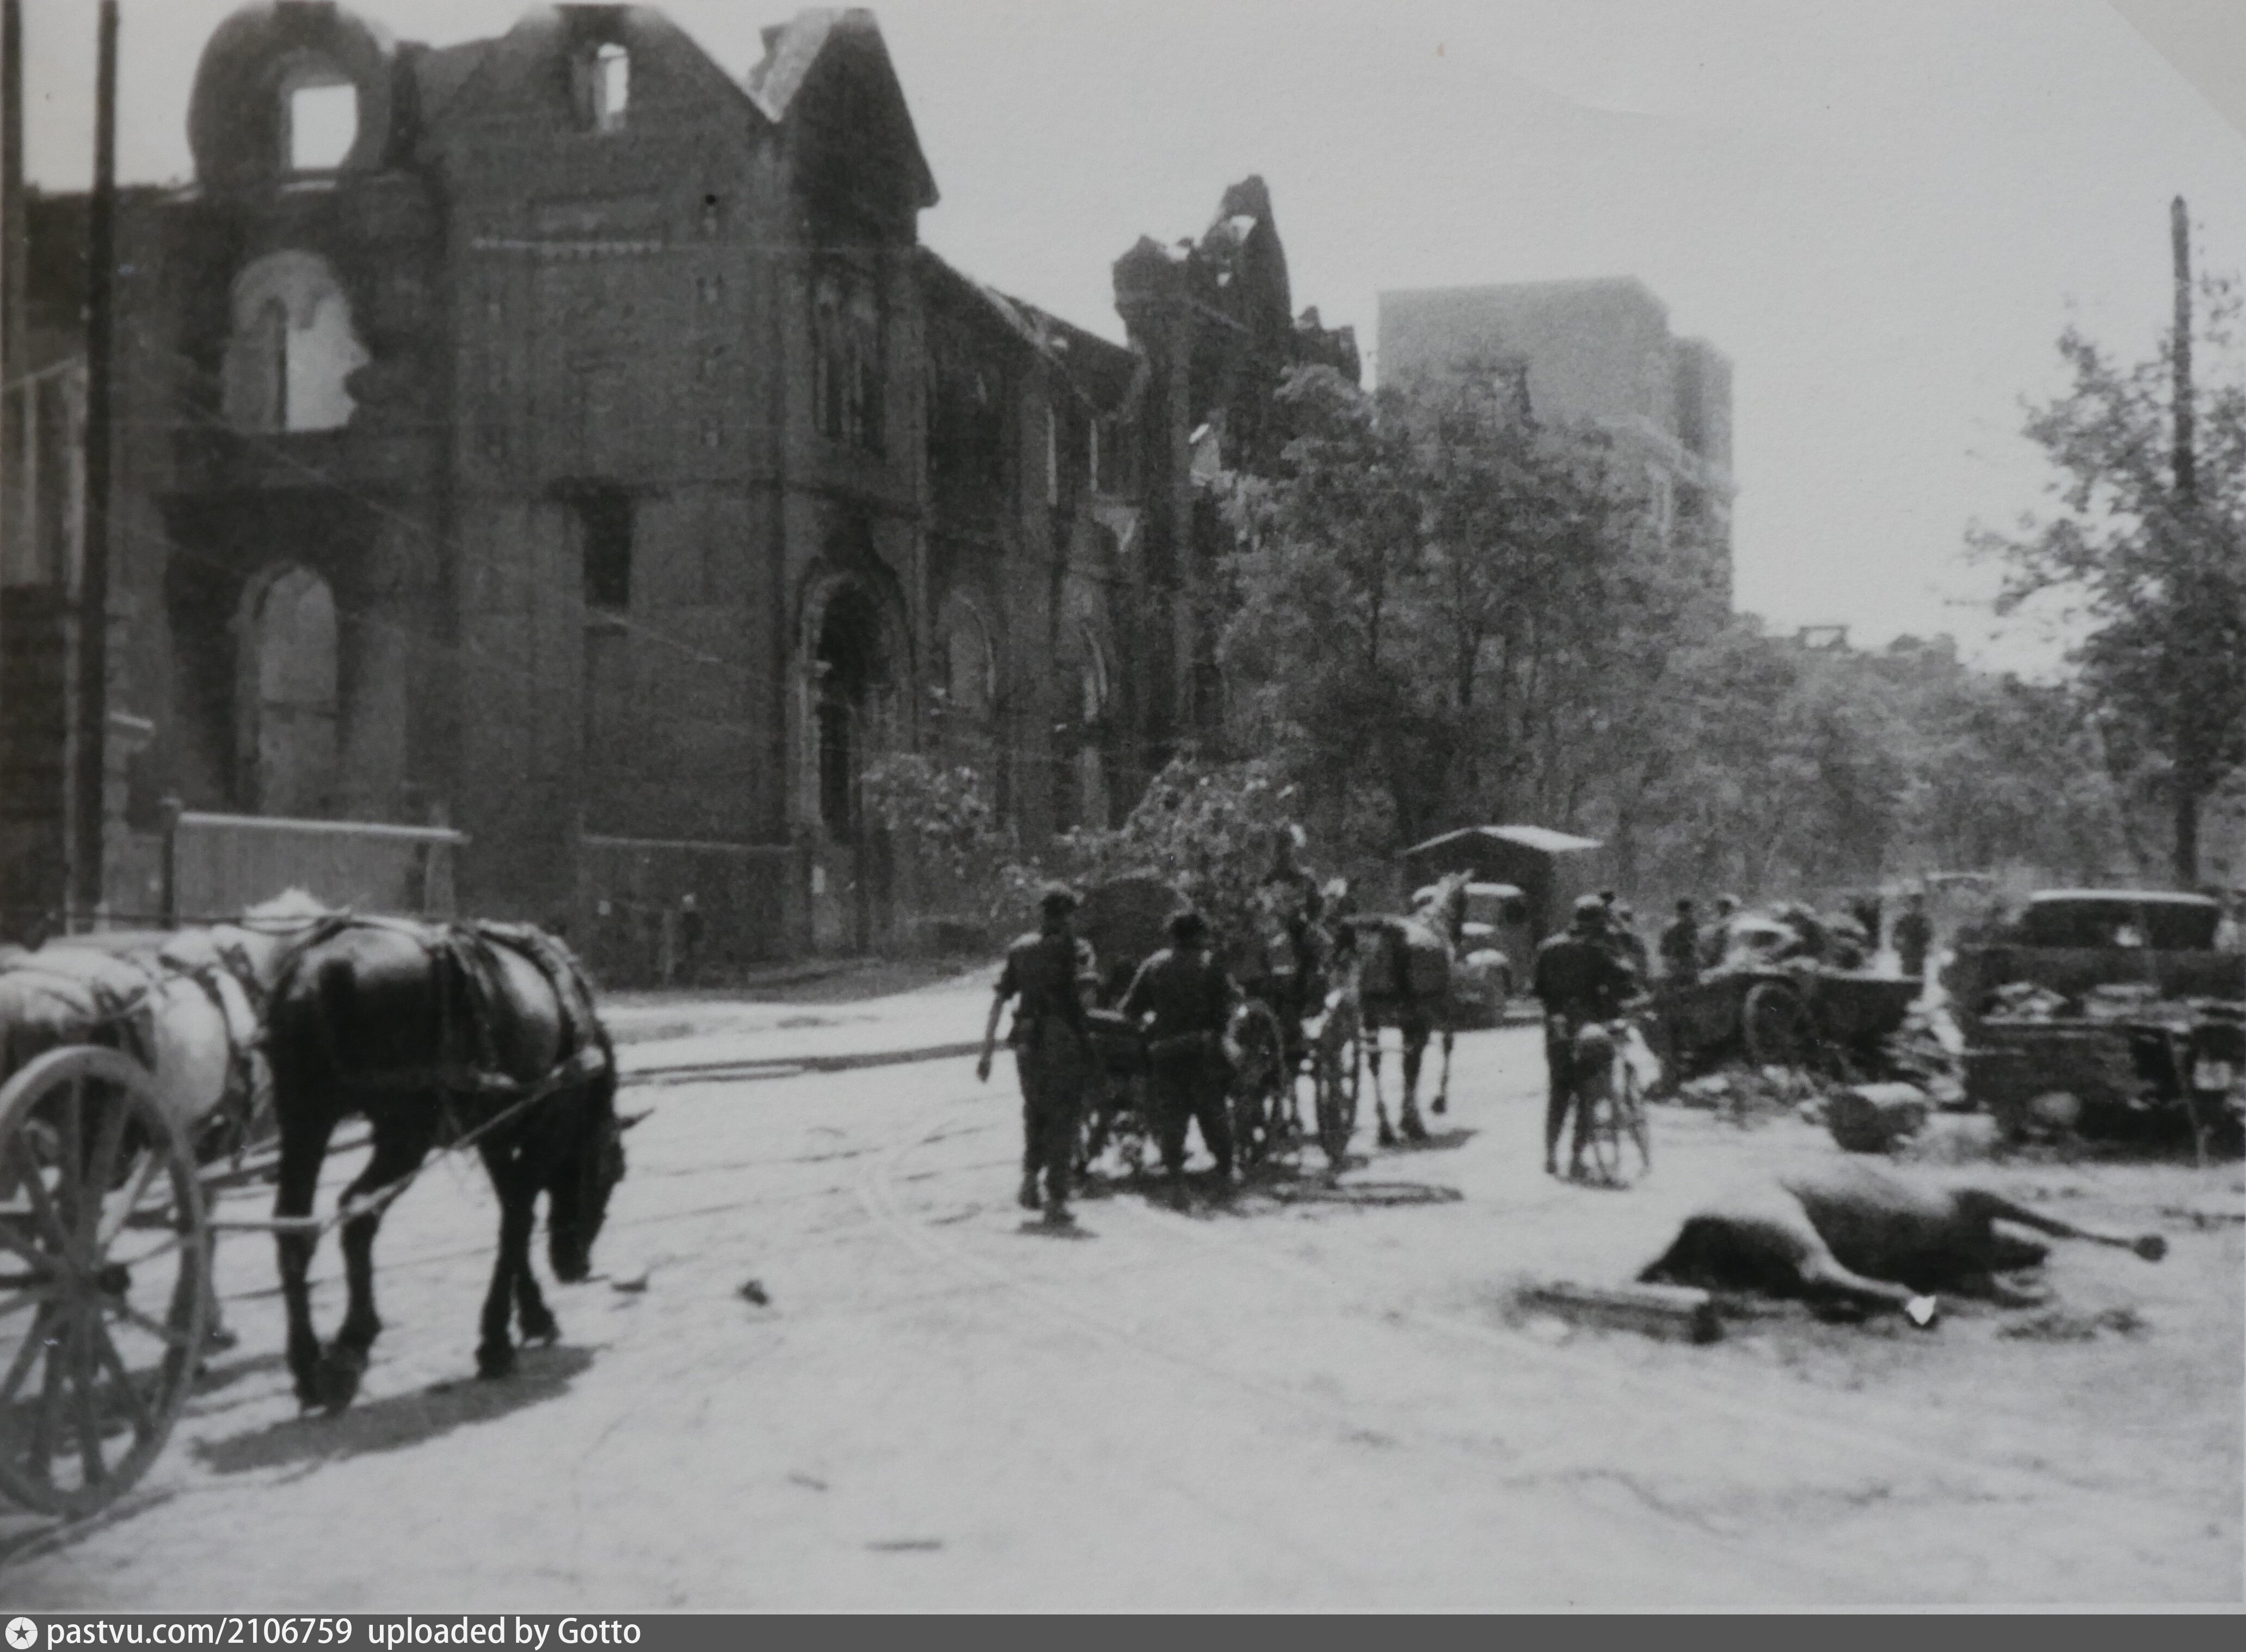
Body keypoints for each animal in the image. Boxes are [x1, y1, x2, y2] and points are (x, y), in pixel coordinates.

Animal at [263, 915, 630, 1412]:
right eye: (613, 1175)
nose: (578, 1268)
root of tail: (321, 969)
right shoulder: (546, 1129)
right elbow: (517, 1218)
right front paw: (496, 1340)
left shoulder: (495, 1133)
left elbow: (513, 1209)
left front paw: (531, 1313)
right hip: (404, 1133)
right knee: (359, 1212)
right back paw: (351, 1346)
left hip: (306, 1120)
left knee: (294, 1226)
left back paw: (305, 1364)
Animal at [1334, 872, 1468, 1147]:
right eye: (1466, 901)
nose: (1460, 938)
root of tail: (1393, 934)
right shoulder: (1436, 1011)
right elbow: (1440, 1049)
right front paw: (1433, 1106)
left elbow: (1408, 1064)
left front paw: (1405, 1119)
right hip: (1417, 1013)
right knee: (1413, 1059)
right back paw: (1412, 1124)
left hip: (1371, 1014)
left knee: (1375, 1061)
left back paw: (1384, 1128)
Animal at [1638, 1160, 2167, 1326]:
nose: (2039, 1256)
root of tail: (1691, 1227)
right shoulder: (1977, 1197)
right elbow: (2058, 1222)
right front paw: (2148, 1243)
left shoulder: (1969, 1267)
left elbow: (2001, 1287)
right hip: (1782, 1216)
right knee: (1819, 1269)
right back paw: (1907, 1299)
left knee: (1811, 1282)